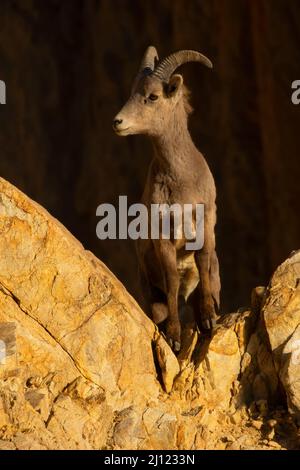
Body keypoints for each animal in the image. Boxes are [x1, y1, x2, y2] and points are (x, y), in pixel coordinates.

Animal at [112, 46, 220, 352]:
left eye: (152, 97)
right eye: (132, 92)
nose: (118, 122)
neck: (182, 182)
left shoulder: (205, 223)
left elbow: (203, 260)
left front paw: (208, 319)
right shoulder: (163, 236)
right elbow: (172, 279)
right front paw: (173, 336)